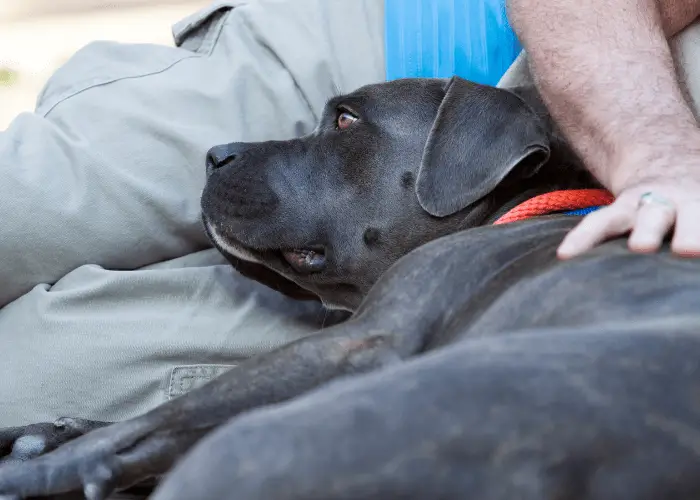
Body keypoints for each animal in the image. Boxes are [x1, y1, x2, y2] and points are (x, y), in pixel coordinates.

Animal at [1, 75, 700, 500]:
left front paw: (42, 460)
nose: (213, 154)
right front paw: (47, 434)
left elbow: (151, 418)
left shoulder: (360, 339)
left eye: (344, 120)